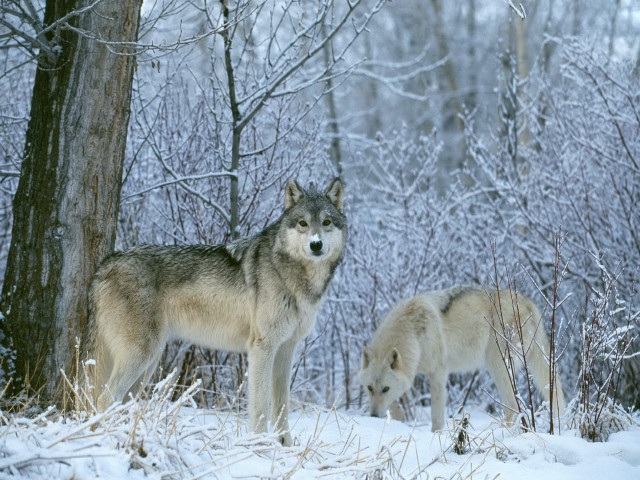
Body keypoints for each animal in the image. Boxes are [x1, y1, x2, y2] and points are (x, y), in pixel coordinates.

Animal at [83, 178, 346, 446]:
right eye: (303, 223)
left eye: (326, 222)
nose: (316, 244)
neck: (293, 275)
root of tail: (105, 264)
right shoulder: (262, 348)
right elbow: (261, 406)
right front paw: (259, 445)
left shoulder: (286, 349)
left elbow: (282, 404)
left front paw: (284, 445)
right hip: (141, 357)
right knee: (104, 398)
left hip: (148, 364)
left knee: (121, 403)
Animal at [358, 286, 565, 431]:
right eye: (369, 388)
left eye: (385, 388)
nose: (373, 415)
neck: (413, 333)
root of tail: (528, 302)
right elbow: (396, 405)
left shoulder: (438, 373)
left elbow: (436, 417)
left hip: (497, 365)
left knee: (513, 406)